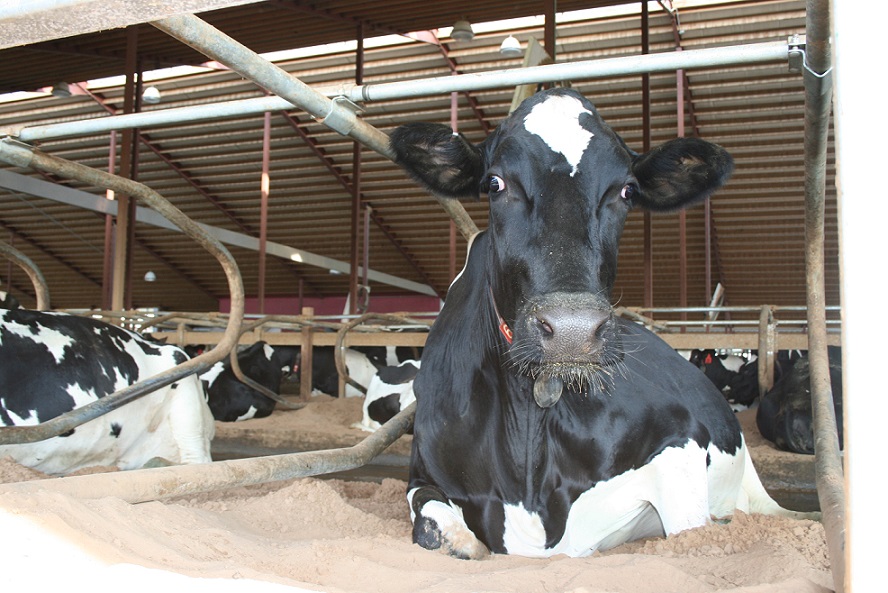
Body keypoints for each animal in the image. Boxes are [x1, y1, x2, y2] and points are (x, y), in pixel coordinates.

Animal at [388, 85, 820, 556]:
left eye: (627, 191)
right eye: (495, 183)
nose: (572, 330)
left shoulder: (681, 439)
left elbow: (688, 532)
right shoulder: (423, 469)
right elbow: (431, 521)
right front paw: (459, 539)